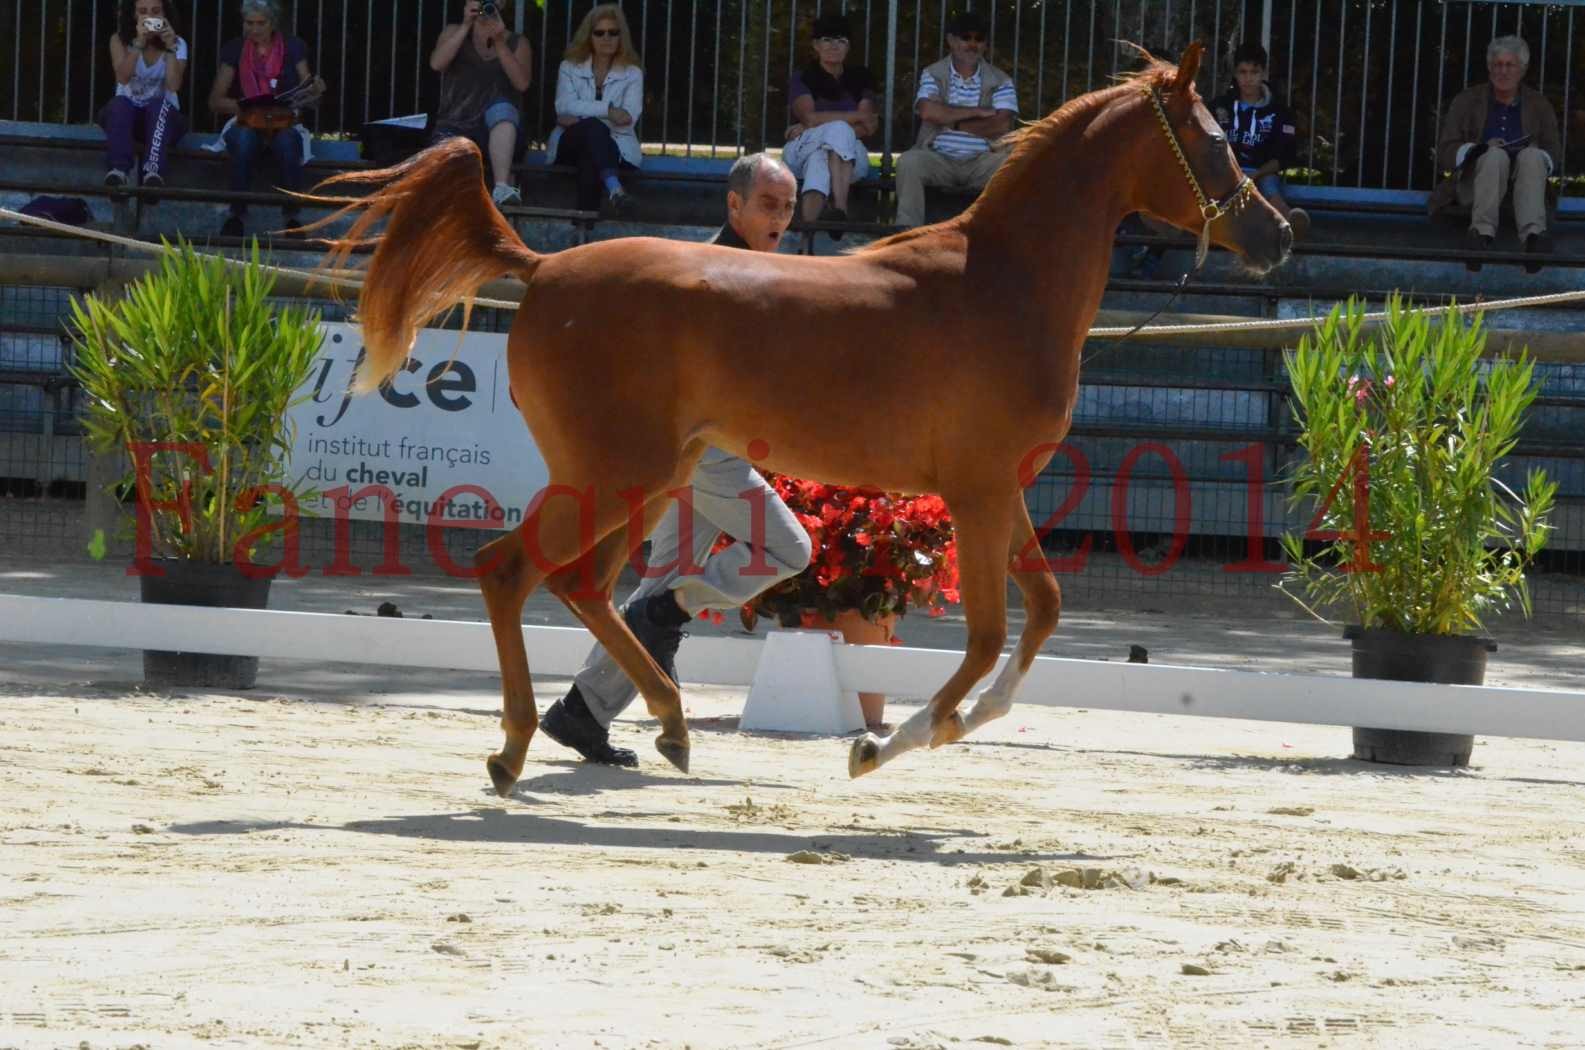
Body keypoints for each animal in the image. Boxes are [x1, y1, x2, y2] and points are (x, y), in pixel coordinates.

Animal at [309, 43, 1287, 799]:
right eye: (1210, 141)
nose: (1278, 233)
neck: (1002, 285)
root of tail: (541, 268)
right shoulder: (976, 492)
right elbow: (986, 635)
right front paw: (880, 747)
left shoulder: (999, 489)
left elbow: (1042, 610)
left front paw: (942, 728)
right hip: (609, 474)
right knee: (508, 571)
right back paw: (517, 753)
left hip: (645, 478)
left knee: (583, 586)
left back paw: (665, 728)